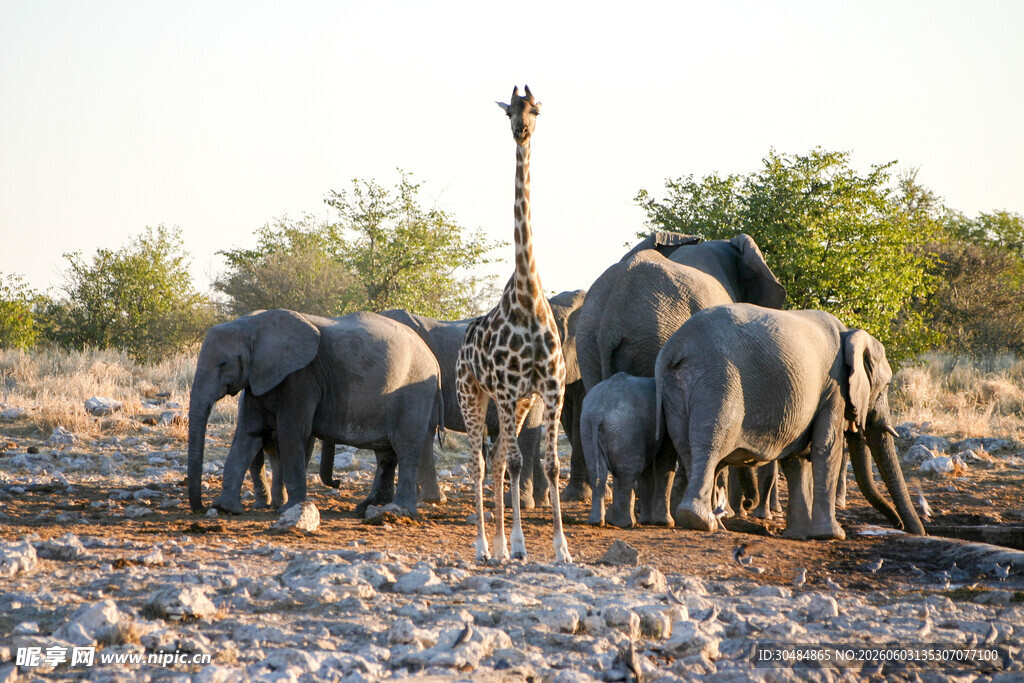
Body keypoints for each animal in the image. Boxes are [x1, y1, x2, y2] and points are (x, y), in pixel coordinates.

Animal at [187, 309, 443, 516]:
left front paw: (289, 509)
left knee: (405, 447)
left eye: (223, 363)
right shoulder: (260, 378)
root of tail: (434, 359)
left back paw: (400, 510)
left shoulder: (301, 378)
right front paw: (225, 508)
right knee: (385, 453)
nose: (199, 509)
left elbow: (292, 433)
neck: (251, 324)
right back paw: (367, 508)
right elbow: (249, 434)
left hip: (415, 392)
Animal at [581, 373, 675, 528]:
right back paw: (625, 524)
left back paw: (597, 522)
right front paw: (664, 523)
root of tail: (597, 413)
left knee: (597, 471)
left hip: (588, 426)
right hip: (625, 429)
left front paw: (647, 521)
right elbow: (664, 462)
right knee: (628, 472)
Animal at [654, 303, 926, 540]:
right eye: (886, 386)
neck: (850, 333)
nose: (903, 526)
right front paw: (832, 535)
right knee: (709, 446)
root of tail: (674, 348)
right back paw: (701, 521)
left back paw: (704, 522)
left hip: (676, 389)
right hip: (719, 382)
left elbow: (797, 458)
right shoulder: (834, 387)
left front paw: (798, 535)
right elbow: (827, 446)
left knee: (686, 450)